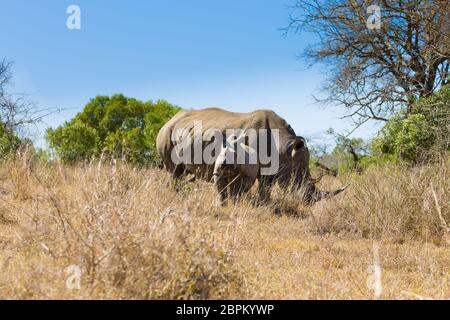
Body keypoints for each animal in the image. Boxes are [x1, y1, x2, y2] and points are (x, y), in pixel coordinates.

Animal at [156, 107, 348, 205]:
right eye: (299, 179)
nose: (310, 203)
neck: (284, 147)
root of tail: (169, 120)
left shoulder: (273, 167)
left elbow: (266, 187)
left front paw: (267, 204)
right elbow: (262, 186)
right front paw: (265, 205)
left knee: (179, 172)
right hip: (167, 133)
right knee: (175, 171)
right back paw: (177, 197)